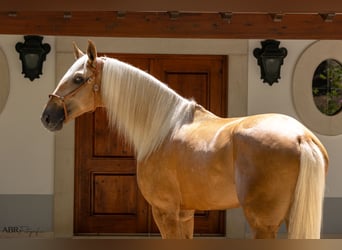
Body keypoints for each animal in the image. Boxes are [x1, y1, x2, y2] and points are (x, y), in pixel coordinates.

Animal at [41, 41, 328, 238]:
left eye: (78, 78)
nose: (47, 117)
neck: (162, 129)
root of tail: (302, 136)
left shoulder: (165, 212)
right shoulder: (185, 213)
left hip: (263, 224)